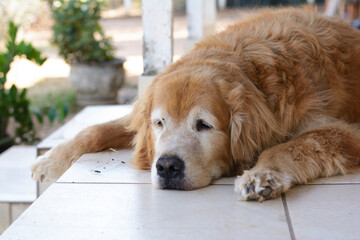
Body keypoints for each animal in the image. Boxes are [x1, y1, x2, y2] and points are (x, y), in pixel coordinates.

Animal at [31, 8, 360, 201]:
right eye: (159, 123)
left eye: (204, 125)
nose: (166, 166)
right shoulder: (138, 119)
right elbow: (96, 129)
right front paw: (51, 160)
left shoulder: (342, 132)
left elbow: (284, 147)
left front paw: (262, 175)